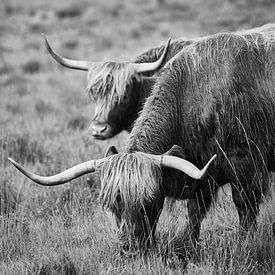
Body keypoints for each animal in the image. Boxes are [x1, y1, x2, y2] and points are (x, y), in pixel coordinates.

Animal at [9, 30, 275, 260]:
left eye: (149, 202)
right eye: (112, 205)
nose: (130, 250)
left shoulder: (246, 168)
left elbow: (245, 209)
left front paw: (245, 244)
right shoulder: (202, 175)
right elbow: (195, 213)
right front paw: (188, 245)